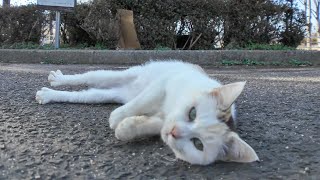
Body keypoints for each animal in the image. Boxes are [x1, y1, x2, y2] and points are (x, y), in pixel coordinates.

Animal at [35, 60, 260, 165]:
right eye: (192, 113)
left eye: (198, 144)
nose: (175, 132)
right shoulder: (162, 85)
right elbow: (140, 103)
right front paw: (117, 118)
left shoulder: (162, 122)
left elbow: (145, 126)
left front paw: (125, 127)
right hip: (127, 74)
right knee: (90, 76)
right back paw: (57, 81)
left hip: (108, 94)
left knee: (86, 95)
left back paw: (50, 95)